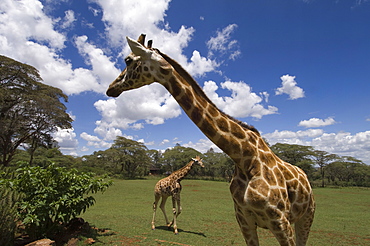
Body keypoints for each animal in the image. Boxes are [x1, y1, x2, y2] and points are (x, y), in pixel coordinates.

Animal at [106, 35, 316, 246]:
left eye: (128, 60)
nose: (110, 87)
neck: (245, 158)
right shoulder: (244, 219)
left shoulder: (280, 221)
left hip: (306, 217)